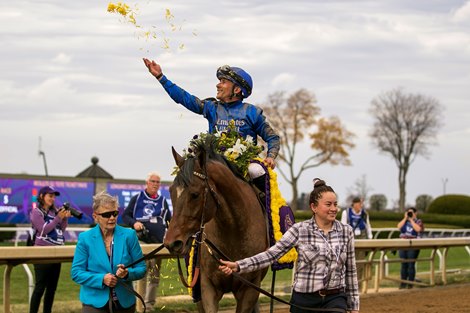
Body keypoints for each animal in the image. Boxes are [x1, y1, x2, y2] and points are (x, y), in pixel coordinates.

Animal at [164, 137, 268, 312]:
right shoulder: (207, 287)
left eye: (194, 194)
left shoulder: (250, 289)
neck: (234, 232)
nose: (172, 243)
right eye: (171, 192)